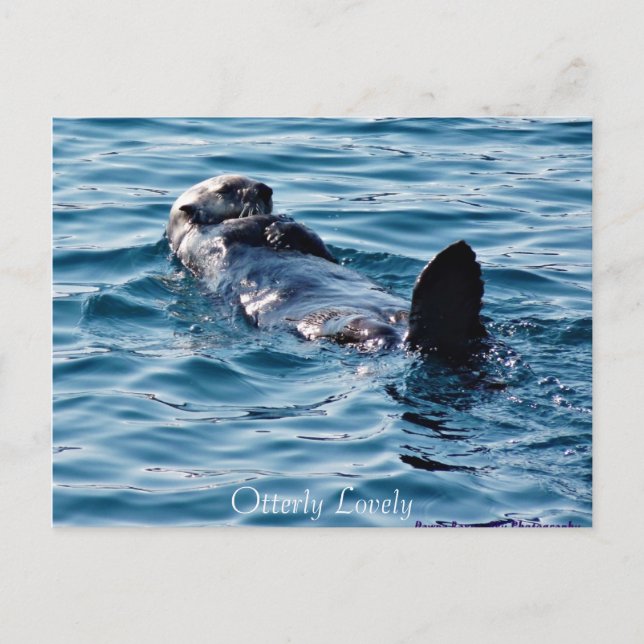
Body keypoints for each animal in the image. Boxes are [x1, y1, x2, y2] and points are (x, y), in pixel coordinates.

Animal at [167, 174, 486, 355]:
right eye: (225, 189)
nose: (265, 189)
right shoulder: (209, 240)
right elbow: (241, 227)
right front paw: (273, 225)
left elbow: (319, 247)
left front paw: (282, 228)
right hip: (333, 321)